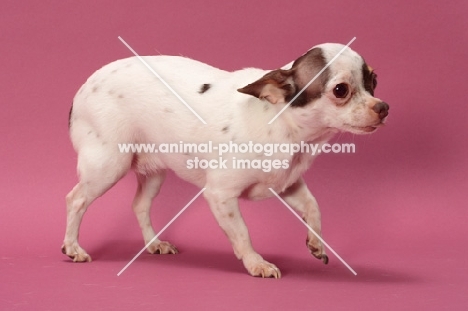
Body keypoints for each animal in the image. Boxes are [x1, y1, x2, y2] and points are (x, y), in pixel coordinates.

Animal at [64, 43, 390, 278]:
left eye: (374, 80)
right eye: (340, 90)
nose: (383, 106)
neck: (284, 126)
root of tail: (84, 86)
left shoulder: (287, 184)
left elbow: (314, 207)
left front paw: (316, 243)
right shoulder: (221, 196)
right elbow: (242, 233)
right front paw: (256, 263)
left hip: (153, 171)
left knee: (140, 205)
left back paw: (153, 244)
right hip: (108, 166)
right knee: (76, 200)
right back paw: (73, 247)